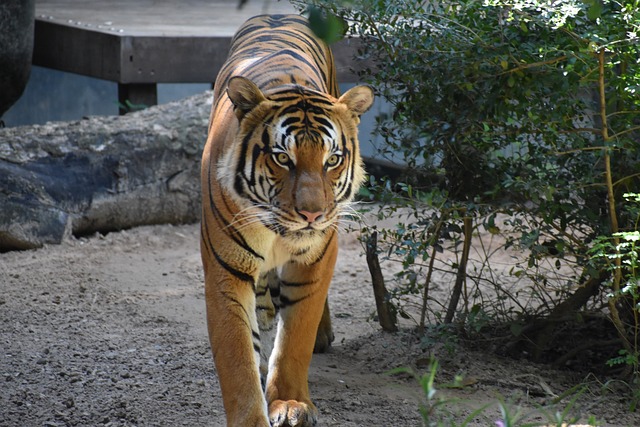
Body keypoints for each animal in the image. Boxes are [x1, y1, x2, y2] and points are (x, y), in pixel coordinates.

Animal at [200, 13, 376, 427]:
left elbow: (296, 338)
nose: (312, 214)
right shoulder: (226, 271)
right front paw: (251, 416)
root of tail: (278, 13)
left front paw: (290, 403)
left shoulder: (316, 259)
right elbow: (237, 356)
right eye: (283, 158)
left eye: (332, 159)